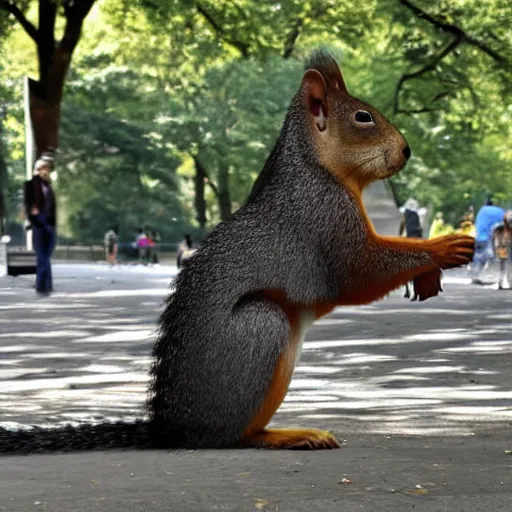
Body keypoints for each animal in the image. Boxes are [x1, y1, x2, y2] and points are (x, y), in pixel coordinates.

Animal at [0, 50, 474, 454]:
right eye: (363, 117)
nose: (407, 150)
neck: (318, 167)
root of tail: (171, 429)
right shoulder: (324, 217)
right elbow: (360, 270)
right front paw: (444, 246)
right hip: (260, 329)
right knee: (232, 437)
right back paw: (288, 435)